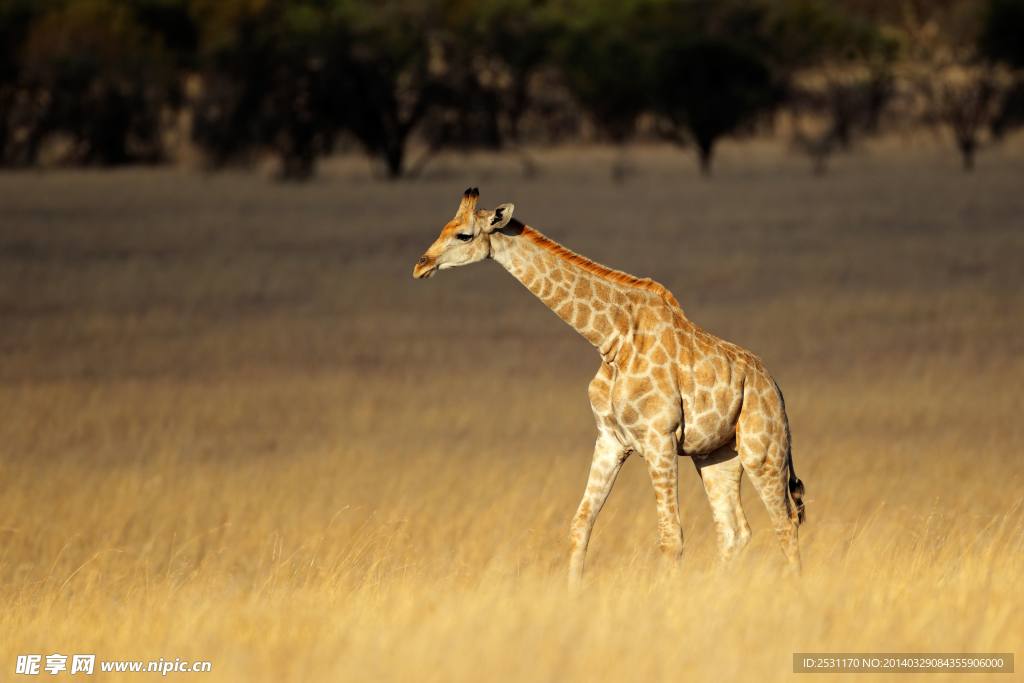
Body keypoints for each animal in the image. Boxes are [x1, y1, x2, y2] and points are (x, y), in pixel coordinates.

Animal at [411, 188, 802, 593]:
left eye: (464, 235)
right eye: (445, 226)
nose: (421, 266)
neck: (611, 339)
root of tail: (774, 387)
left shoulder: (659, 438)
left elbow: (671, 536)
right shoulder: (610, 439)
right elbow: (580, 526)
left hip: (763, 451)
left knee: (785, 525)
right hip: (716, 456)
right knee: (735, 531)